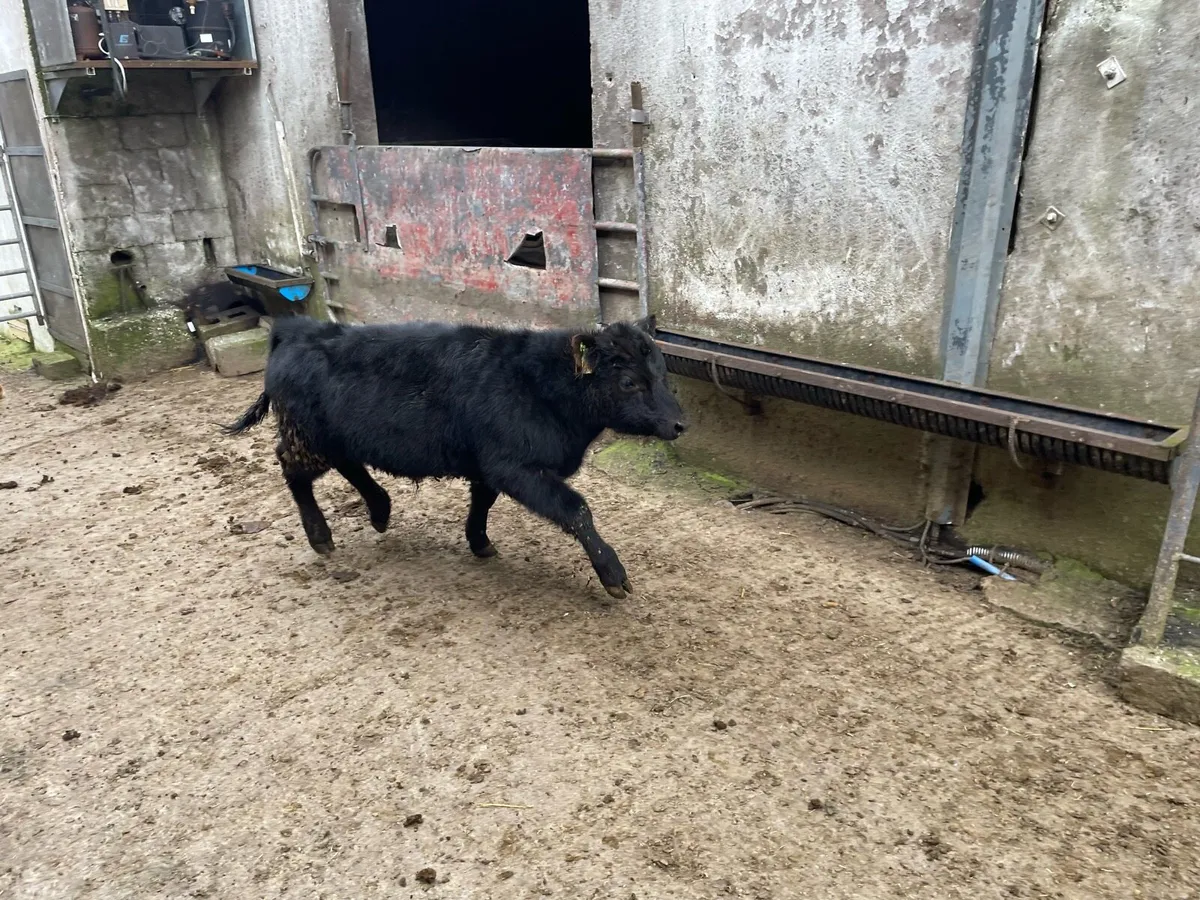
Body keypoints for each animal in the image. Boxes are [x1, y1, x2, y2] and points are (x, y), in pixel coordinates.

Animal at [223, 315, 687, 599]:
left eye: (663, 373)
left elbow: (482, 502)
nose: (680, 424)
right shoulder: (515, 466)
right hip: (306, 437)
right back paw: (321, 536)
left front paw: (479, 542)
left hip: (334, 436)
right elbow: (576, 509)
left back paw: (380, 509)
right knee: (294, 471)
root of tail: (299, 327)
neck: (539, 384)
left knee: (348, 464)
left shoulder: (488, 465)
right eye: (628, 382)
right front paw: (613, 575)